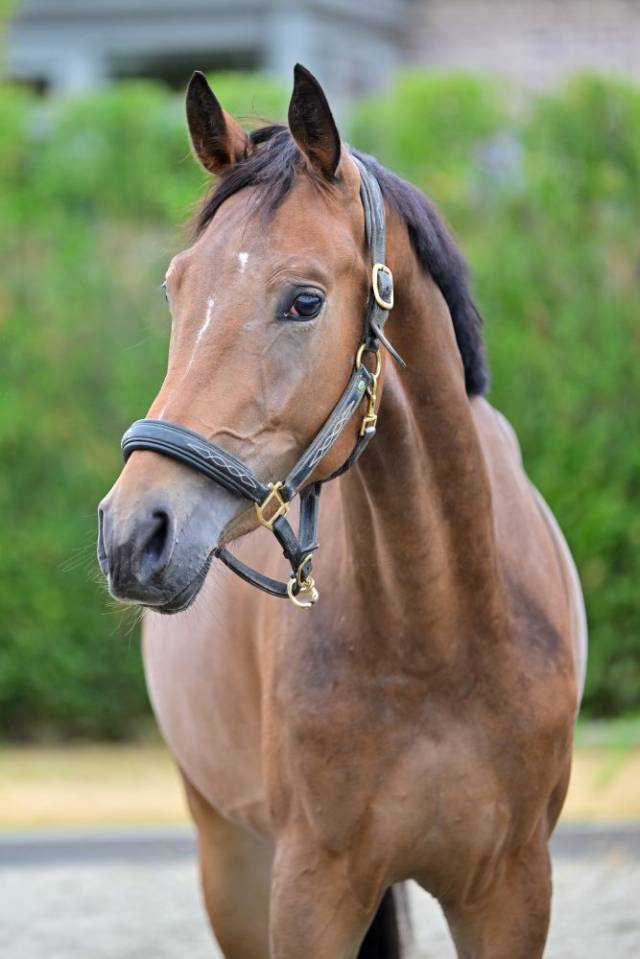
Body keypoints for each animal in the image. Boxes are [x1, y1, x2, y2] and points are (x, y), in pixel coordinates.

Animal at [98, 65, 587, 958]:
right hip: (230, 855)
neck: (442, 633)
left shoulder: (511, 891)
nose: (133, 532)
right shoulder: (311, 890)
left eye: (303, 301)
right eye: (176, 289)